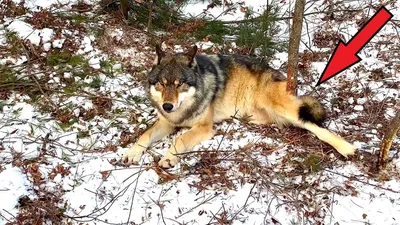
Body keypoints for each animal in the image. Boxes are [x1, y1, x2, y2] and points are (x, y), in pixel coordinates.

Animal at [122, 45, 356, 168]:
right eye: (162, 84)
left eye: (180, 84)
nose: (168, 106)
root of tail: (278, 74)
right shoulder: (167, 122)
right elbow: (145, 135)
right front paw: (132, 152)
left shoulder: (204, 128)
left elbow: (179, 139)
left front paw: (168, 158)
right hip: (255, 115)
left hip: (284, 109)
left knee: (314, 125)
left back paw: (347, 148)